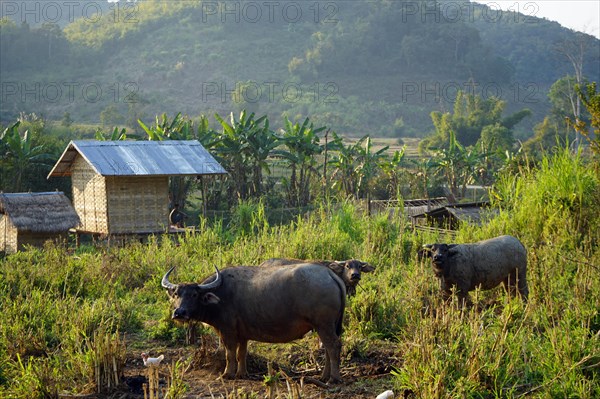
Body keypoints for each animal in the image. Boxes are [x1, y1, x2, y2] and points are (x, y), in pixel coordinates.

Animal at [162, 264, 344, 382]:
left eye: (193, 295)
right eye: (176, 294)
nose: (179, 313)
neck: (220, 295)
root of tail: (330, 274)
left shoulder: (227, 331)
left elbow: (229, 353)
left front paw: (227, 374)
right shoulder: (243, 334)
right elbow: (241, 353)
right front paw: (242, 374)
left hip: (323, 325)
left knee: (333, 346)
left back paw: (333, 378)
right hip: (327, 326)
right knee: (328, 348)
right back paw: (324, 376)